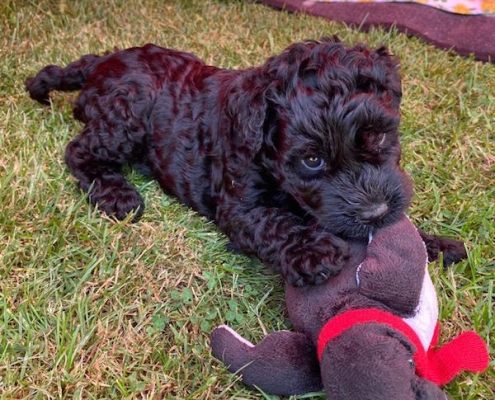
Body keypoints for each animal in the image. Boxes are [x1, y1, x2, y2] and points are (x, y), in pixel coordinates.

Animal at [25, 38, 466, 284]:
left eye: (377, 136)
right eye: (311, 160)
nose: (374, 212)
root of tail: (99, 63)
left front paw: (434, 244)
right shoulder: (239, 206)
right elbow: (275, 223)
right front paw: (316, 252)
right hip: (126, 116)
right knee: (78, 151)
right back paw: (117, 194)